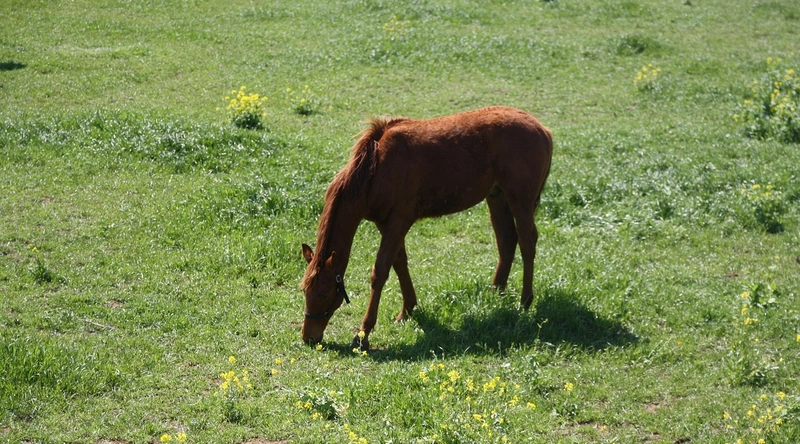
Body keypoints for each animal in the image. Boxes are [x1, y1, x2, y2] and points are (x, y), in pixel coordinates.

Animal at [300, 106, 552, 349]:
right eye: (304, 290)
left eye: (324, 293)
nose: (308, 337)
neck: (376, 168)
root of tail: (543, 130)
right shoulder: (386, 223)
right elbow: (399, 263)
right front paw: (407, 310)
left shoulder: (399, 222)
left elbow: (380, 272)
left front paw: (363, 334)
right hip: (497, 197)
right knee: (507, 241)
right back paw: (496, 294)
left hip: (520, 201)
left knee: (527, 244)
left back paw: (525, 302)